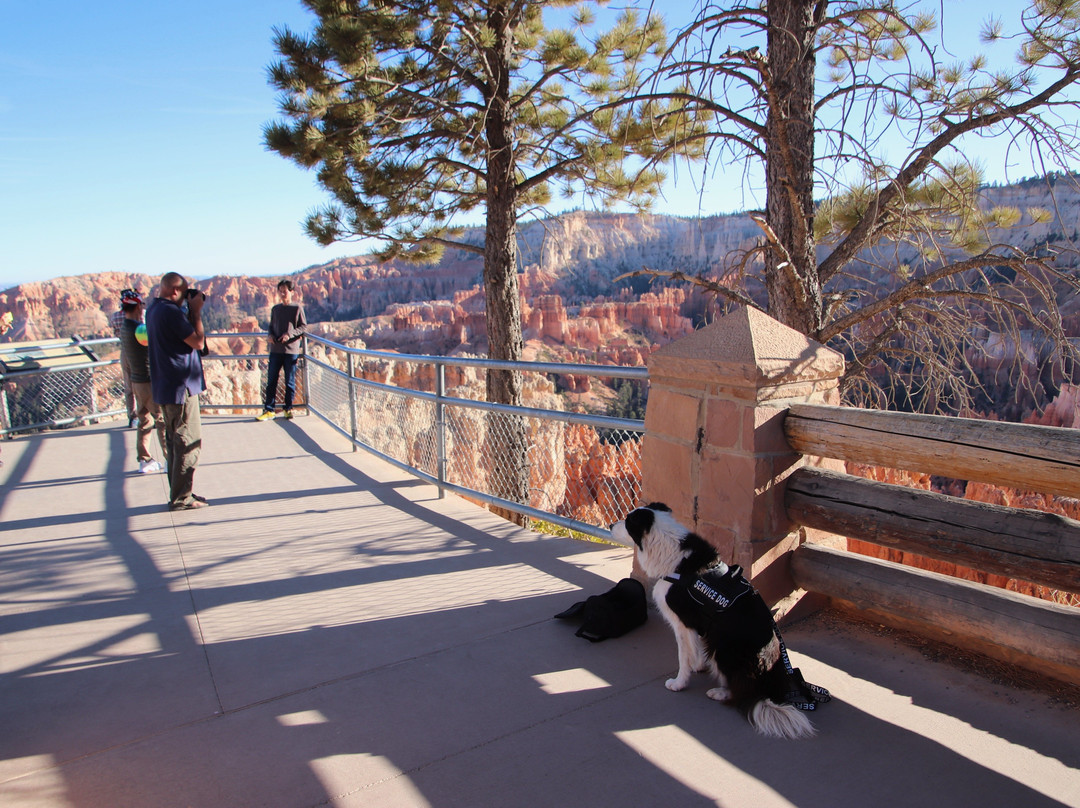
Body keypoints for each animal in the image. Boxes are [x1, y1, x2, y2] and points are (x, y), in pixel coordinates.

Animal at [609, 501, 825, 743]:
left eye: (628, 522)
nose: (610, 525)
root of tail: (768, 689)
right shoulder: (698, 626)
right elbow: (695, 650)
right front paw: (699, 666)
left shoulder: (682, 622)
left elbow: (683, 656)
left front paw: (679, 683)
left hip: (724, 648)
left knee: (739, 691)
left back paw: (720, 692)